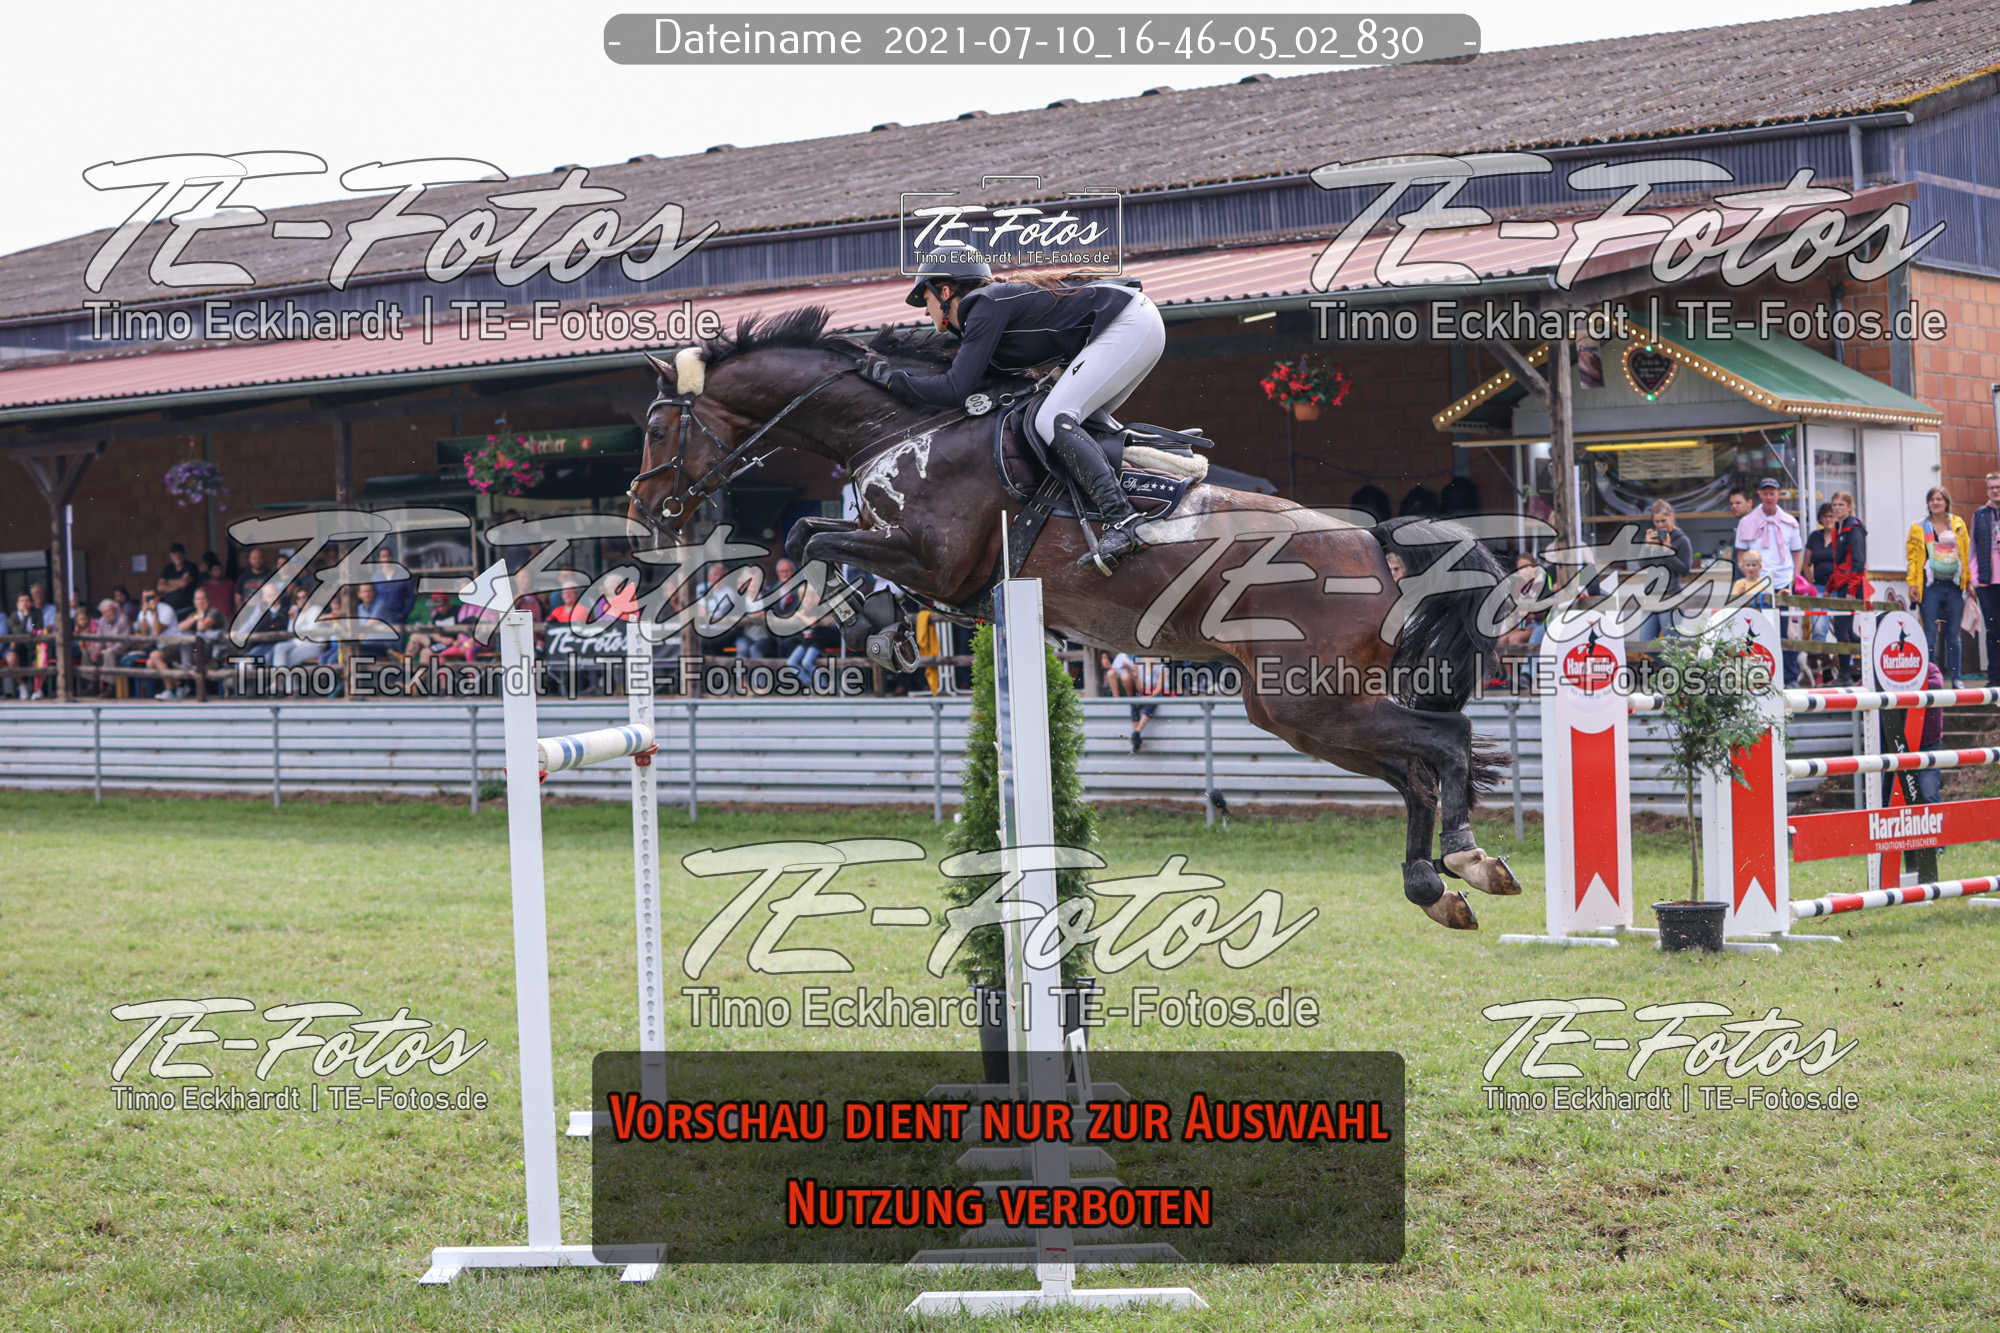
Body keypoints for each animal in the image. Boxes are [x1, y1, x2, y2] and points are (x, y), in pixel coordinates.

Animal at [625, 307, 1521, 928]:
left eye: (659, 426)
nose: (642, 515)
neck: (903, 424)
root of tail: (1370, 538)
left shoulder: (932, 555)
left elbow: (810, 535)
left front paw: (878, 624)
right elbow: (816, 535)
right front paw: (884, 628)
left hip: (1312, 696)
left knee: (1446, 742)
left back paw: (1470, 858)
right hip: (1296, 710)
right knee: (1413, 770)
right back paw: (1433, 888)